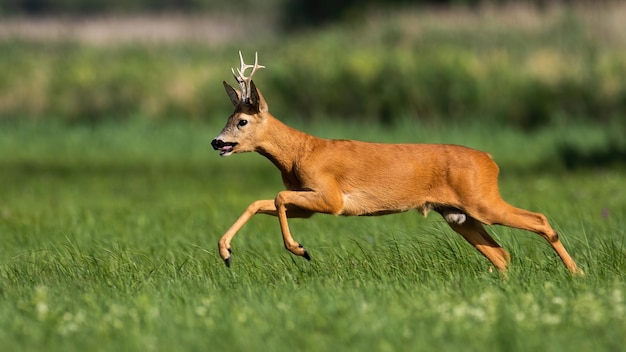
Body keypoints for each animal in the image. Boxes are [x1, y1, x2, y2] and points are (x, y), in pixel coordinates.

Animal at [212, 51, 584, 276]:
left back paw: (576, 272)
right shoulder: (307, 203)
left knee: (540, 220)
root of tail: (490, 161)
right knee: (501, 254)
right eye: (228, 118)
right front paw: (226, 252)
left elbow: (276, 197)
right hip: (458, 214)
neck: (299, 154)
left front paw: (299, 249)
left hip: (482, 201)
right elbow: (259, 202)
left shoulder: (331, 197)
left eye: (242, 121)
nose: (217, 141)